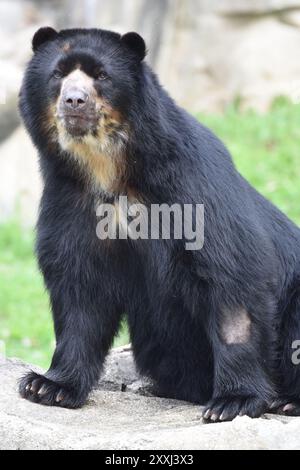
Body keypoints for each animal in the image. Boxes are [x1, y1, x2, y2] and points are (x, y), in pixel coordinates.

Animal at [18, 26, 300, 422]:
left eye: (101, 75)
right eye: (58, 74)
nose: (74, 101)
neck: (107, 168)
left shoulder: (191, 183)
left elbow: (233, 276)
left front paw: (232, 401)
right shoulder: (69, 199)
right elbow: (79, 290)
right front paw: (48, 385)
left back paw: (287, 400)